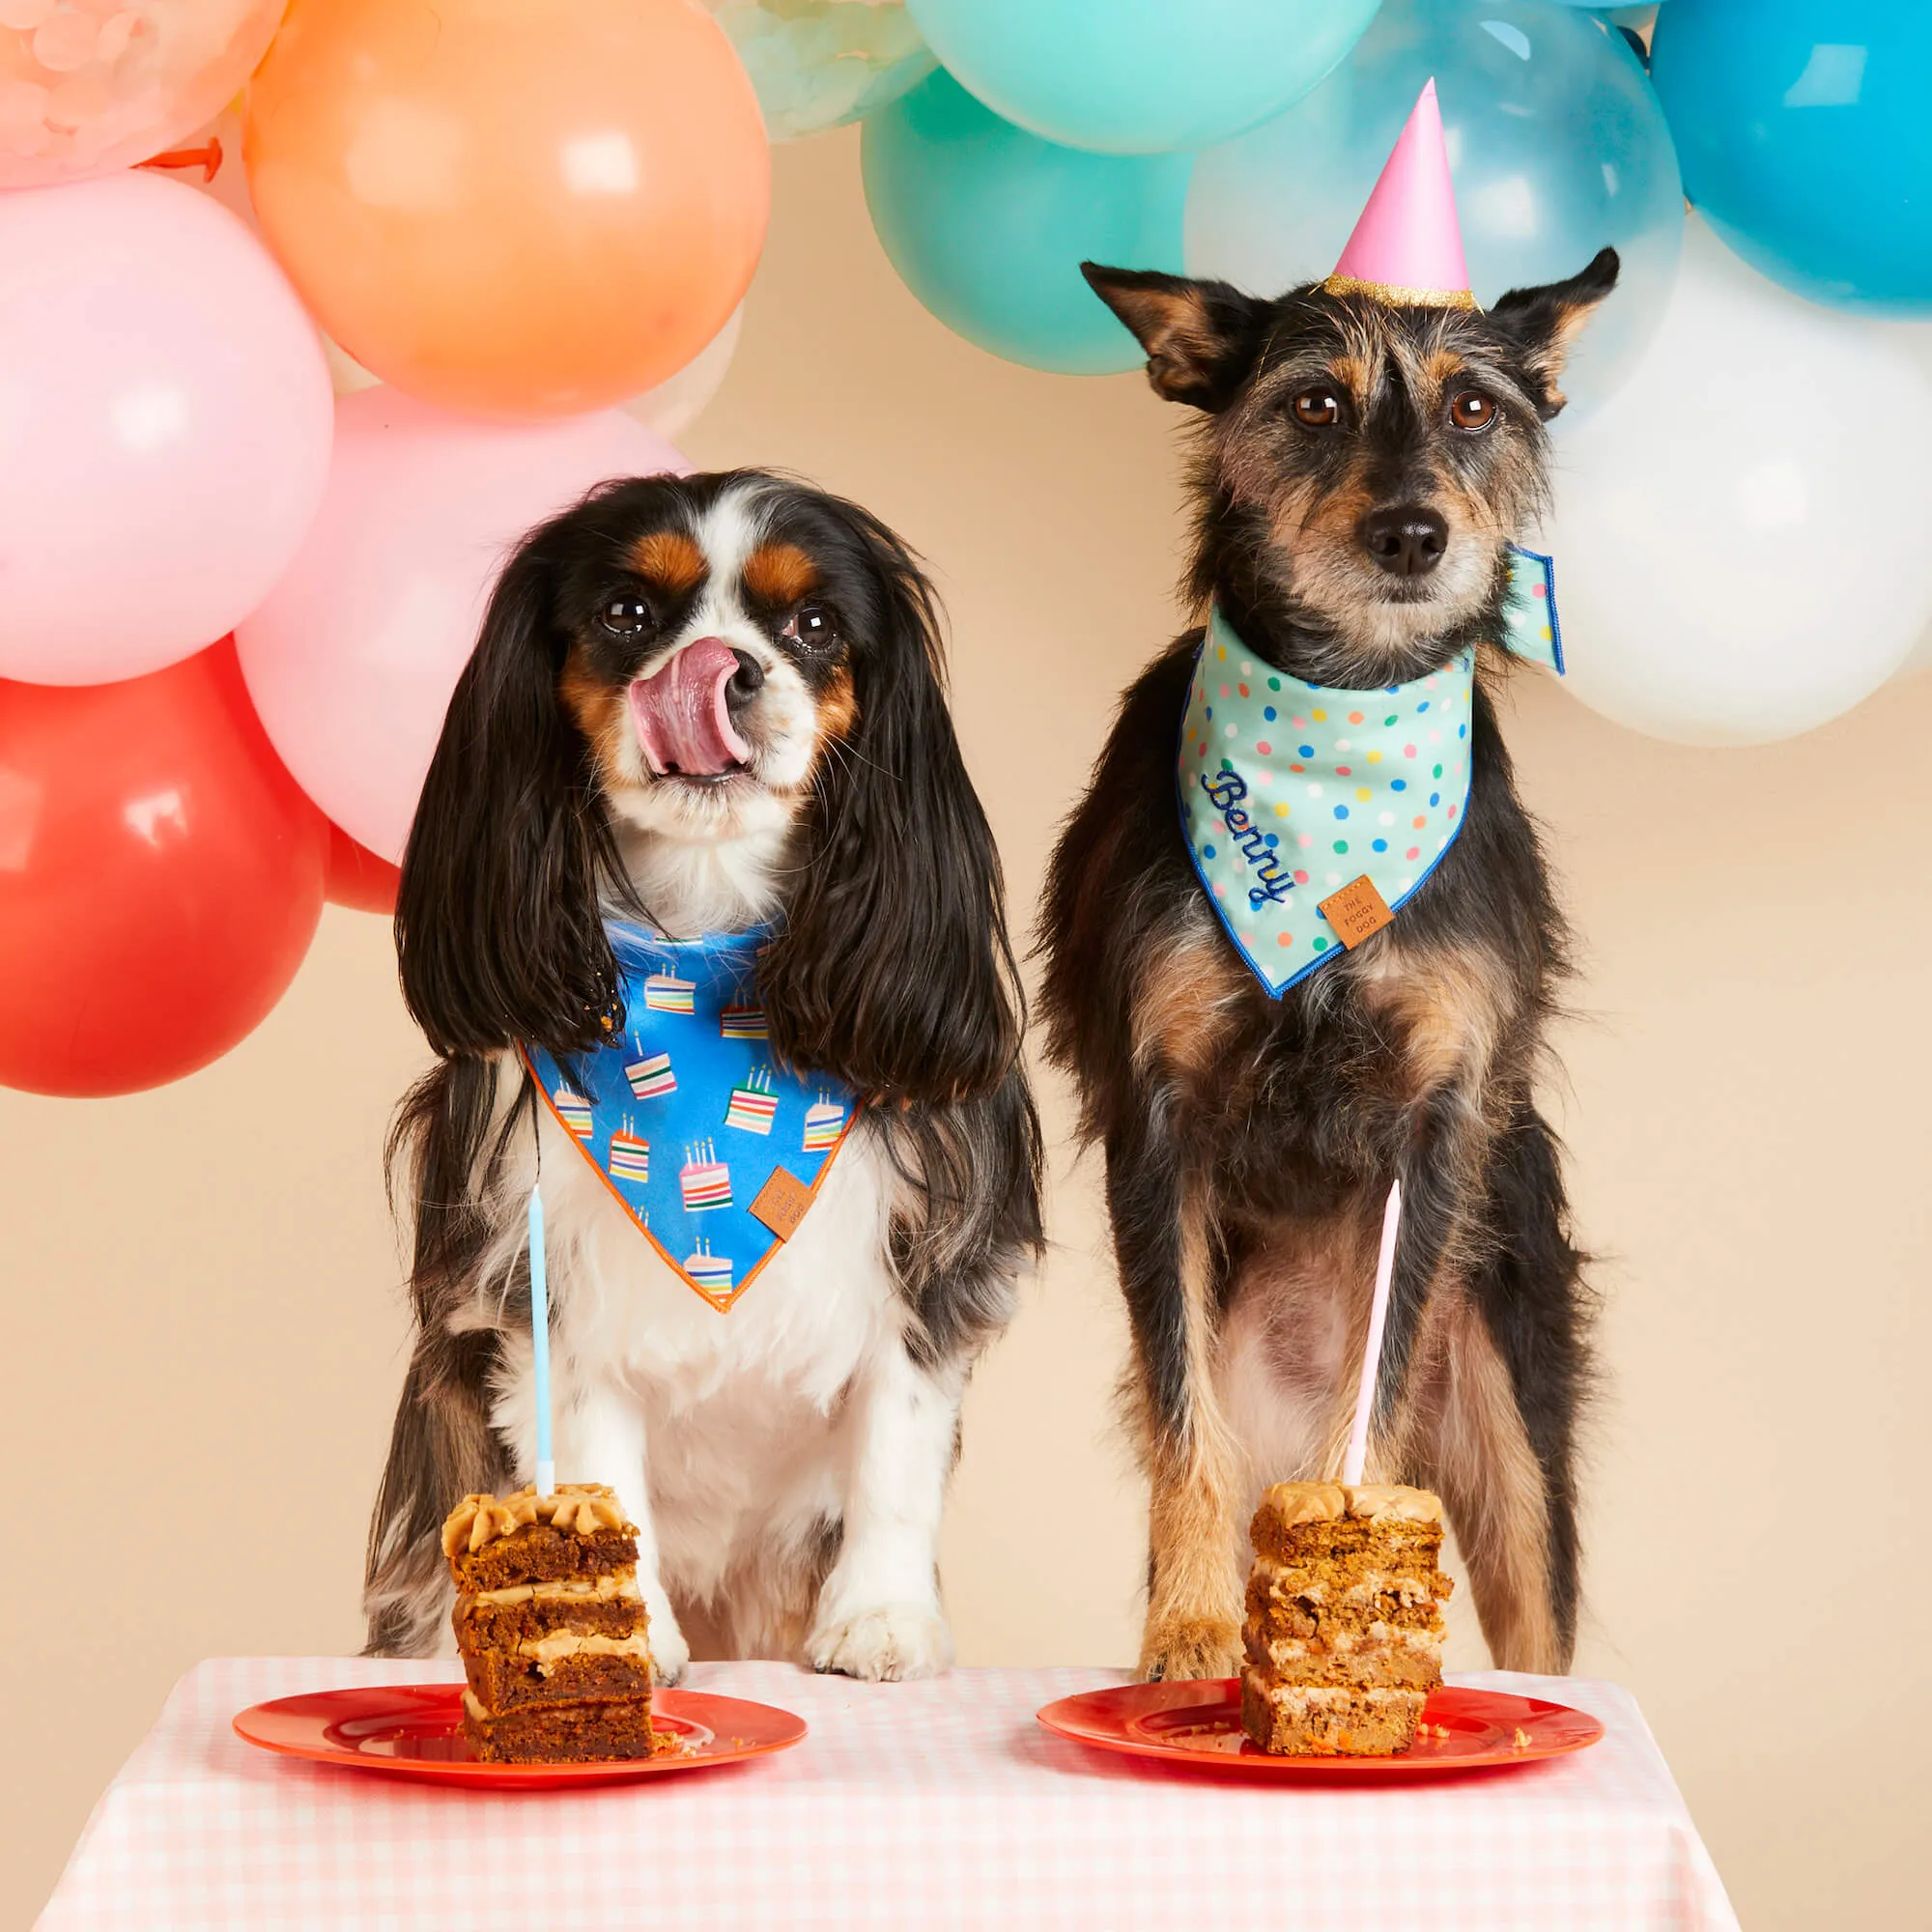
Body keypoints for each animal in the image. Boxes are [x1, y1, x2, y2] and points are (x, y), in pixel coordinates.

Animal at [371, 468, 1051, 1677]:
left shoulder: (928, 1254)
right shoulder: (541, 1273)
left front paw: (880, 1617)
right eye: (626, 614)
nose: (720, 669)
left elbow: (894, 1444)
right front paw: (613, 1621)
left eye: (815, 625)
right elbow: (591, 1447)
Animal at [1043, 253, 1615, 1677]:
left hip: (1517, 1428)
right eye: (1312, 404)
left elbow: (1379, 1387)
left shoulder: (1433, 1129)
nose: (1412, 534)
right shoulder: (1156, 1123)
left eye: (1473, 406)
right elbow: (1181, 1428)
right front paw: (1191, 1629)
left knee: (1542, 1628)